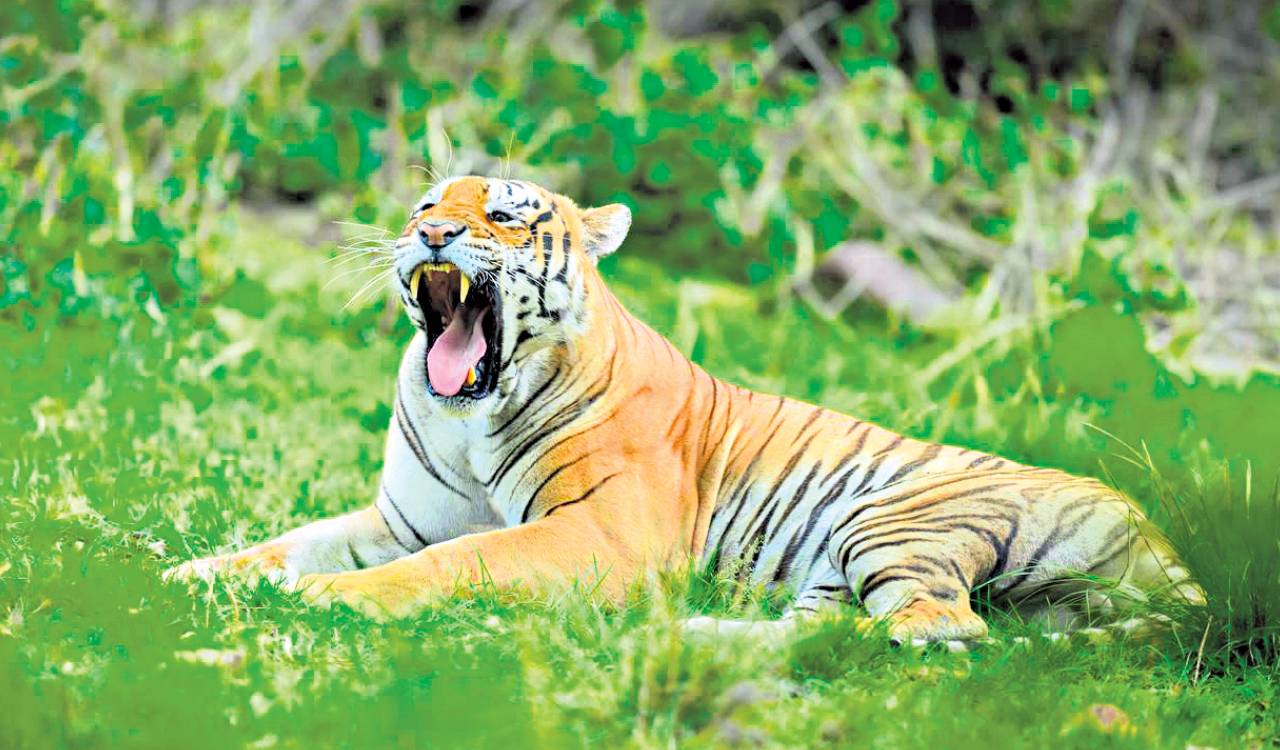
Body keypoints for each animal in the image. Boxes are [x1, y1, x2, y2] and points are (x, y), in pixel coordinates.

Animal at [167, 175, 1202, 645]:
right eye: (426, 203)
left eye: (501, 215)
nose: (431, 234)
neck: (471, 417)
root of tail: (1155, 524)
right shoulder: (396, 520)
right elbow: (280, 545)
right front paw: (188, 575)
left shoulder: (601, 533)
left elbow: (461, 562)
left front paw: (326, 601)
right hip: (842, 568)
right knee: (823, 630)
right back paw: (693, 634)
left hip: (889, 524)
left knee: (939, 631)